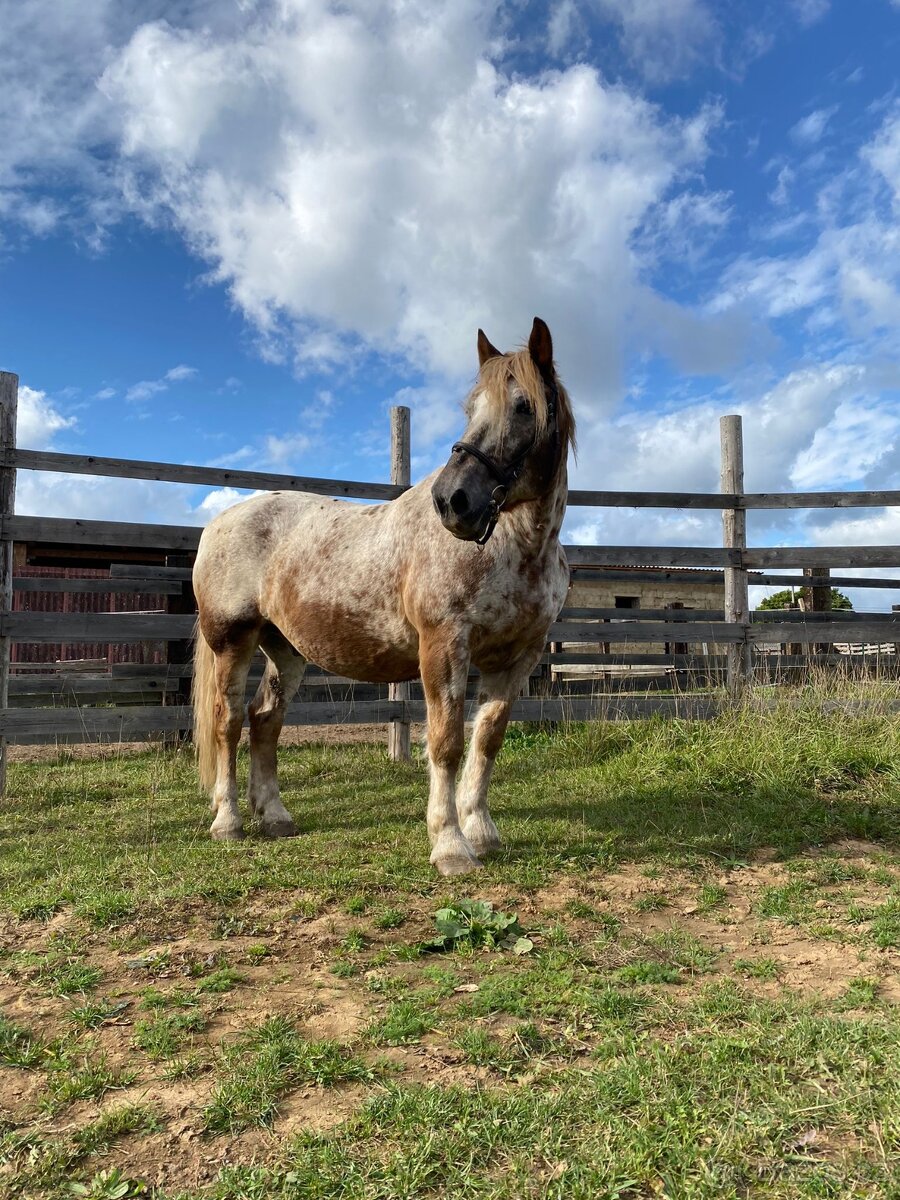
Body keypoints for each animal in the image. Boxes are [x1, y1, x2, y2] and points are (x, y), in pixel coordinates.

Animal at [192, 319, 578, 878]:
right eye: (471, 408)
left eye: (524, 406)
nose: (453, 501)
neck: (514, 548)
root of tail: (219, 522)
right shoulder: (443, 646)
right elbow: (446, 743)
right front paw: (450, 845)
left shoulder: (519, 657)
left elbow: (487, 740)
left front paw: (482, 833)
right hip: (232, 642)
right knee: (228, 723)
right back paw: (228, 821)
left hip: (286, 650)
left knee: (265, 720)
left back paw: (277, 817)